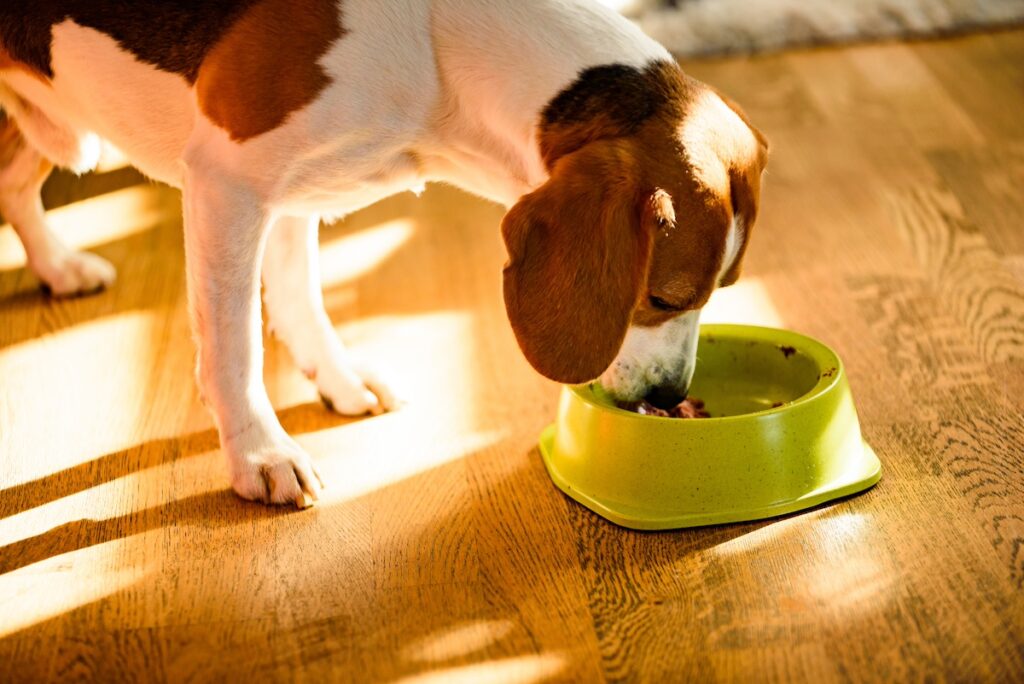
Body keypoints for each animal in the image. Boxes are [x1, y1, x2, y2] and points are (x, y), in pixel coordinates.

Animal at [2, 1, 770, 507]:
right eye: (664, 297)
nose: (669, 395)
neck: (442, 53)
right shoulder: (229, 180)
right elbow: (234, 346)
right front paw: (259, 452)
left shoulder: (291, 193)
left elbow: (301, 298)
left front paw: (338, 379)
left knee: (14, 188)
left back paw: (60, 266)